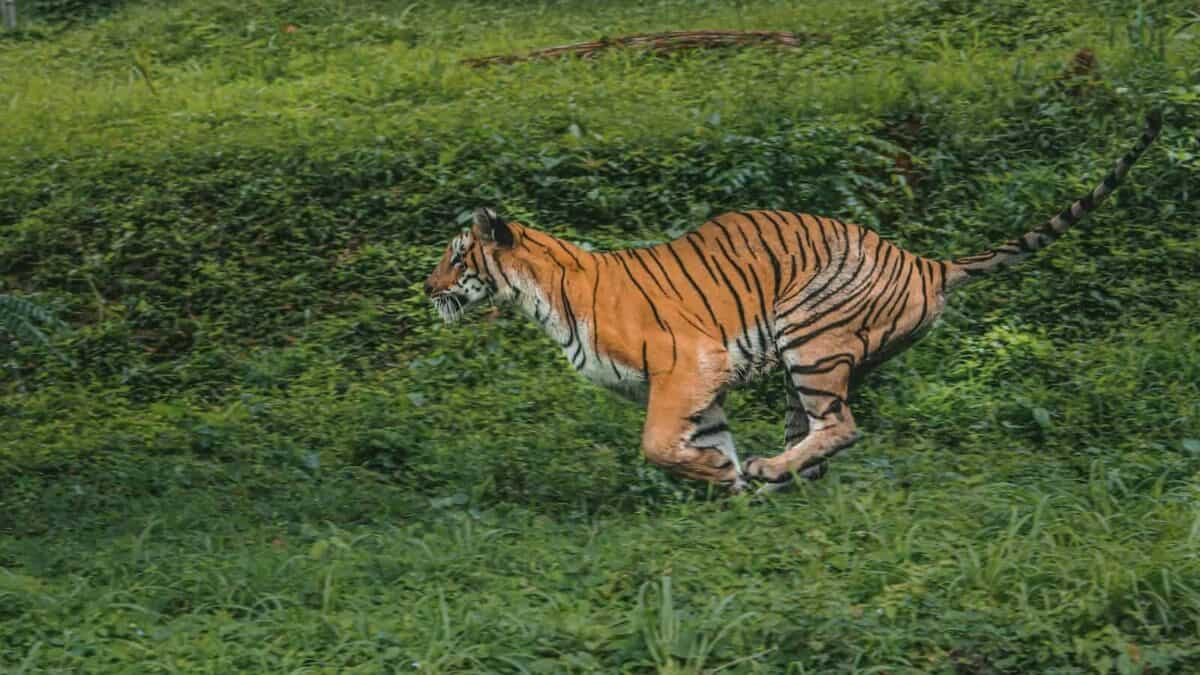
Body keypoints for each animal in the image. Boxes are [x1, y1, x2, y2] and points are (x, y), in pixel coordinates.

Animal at [423, 112, 1161, 493]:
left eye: (457, 256)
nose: (428, 289)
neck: (542, 295)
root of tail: (925, 260)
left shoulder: (687, 366)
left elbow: (658, 444)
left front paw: (724, 475)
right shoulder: (702, 388)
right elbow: (702, 441)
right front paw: (726, 481)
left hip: (811, 340)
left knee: (842, 426)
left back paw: (772, 470)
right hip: (801, 366)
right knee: (818, 436)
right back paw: (778, 476)